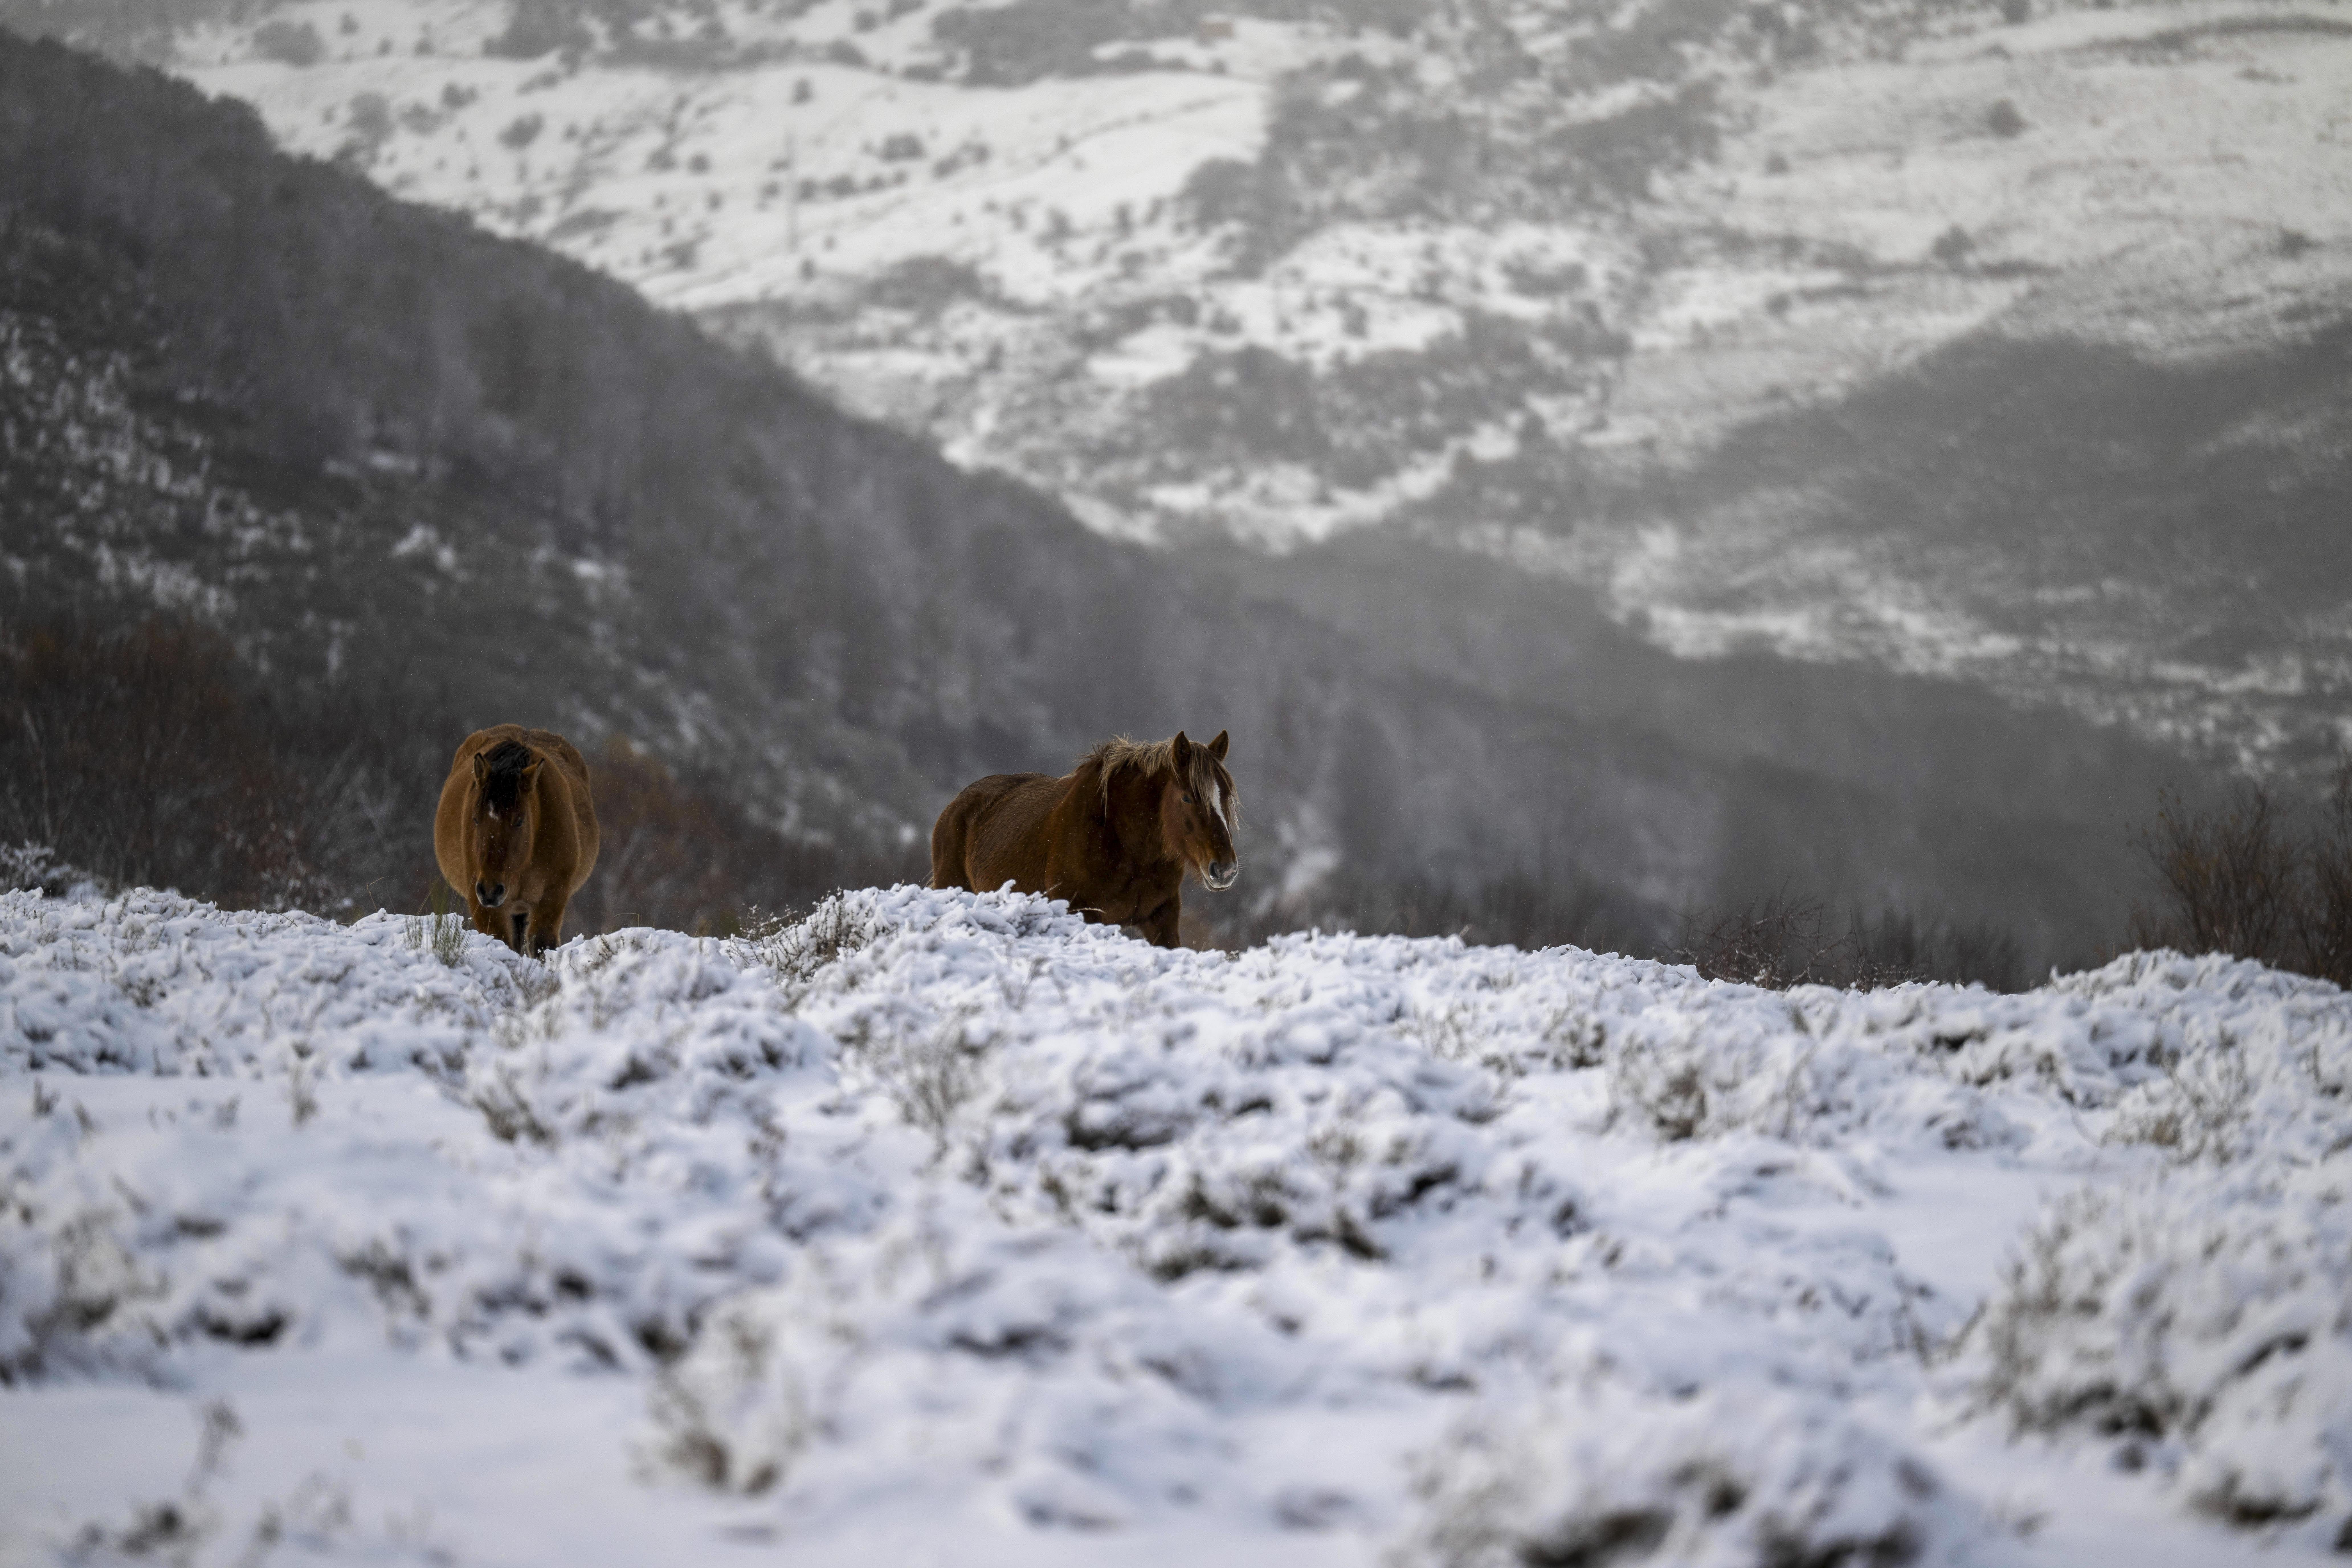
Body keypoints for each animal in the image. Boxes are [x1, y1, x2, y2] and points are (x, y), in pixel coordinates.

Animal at [433, 725, 601, 957]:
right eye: (475, 819)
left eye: (520, 821)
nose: (490, 891)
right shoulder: (483, 905)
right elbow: (502, 942)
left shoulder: (553, 897)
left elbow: (542, 945)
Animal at [930, 730, 1238, 948]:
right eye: (1187, 797)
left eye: (1225, 795)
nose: (1225, 869)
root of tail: (955, 805)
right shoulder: (1082, 913)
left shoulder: (1162, 918)